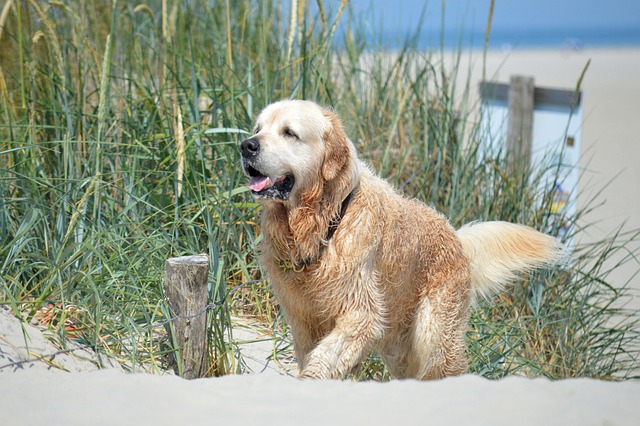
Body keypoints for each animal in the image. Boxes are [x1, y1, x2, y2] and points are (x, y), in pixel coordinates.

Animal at [241, 99, 564, 380]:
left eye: (289, 132)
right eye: (258, 128)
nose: (246, 146)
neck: (325, 223)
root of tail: (456, 236)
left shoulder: (361, 313)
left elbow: (323, 358)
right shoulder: (303, 319)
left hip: (434, 334)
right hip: (400, 346)